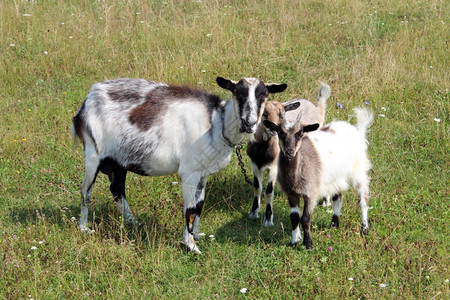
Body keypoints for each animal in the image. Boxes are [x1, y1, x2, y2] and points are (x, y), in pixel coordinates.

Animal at [72, 76, 286, 252]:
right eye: (237, 93)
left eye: (264, 95)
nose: (249, 123)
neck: (216, 123)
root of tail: (87, 102)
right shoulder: (189, 172)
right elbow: (189, 210)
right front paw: (190, 246)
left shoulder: (203, 173)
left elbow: (199, 205)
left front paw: (197, 235)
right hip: (93, 152)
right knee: (86, 190)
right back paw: (84, 227)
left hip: (118, 160)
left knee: (117, 189)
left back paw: (133, 222)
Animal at [246, 83, 330, 226]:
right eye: (264, 113)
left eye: (282, 114)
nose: (273, 129)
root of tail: (317, 107)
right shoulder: (255, 165)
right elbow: (257, 187)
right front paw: (253, 213)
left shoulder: (273, 167)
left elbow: (268, 191)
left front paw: (268, 219)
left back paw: (325, 202)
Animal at [264, 106, 372, 250]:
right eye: (280, 133)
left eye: (300, 134)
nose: (289, 152)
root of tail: (356, 130)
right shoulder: (291, 193)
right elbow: (294, 218)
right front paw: (294, 241)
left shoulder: (311, 192)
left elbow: (305, 218)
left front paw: (308, 243)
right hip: (336, 177)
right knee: (338, 197)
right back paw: (334, 224)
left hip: (358, 169)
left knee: (363, 199)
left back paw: (364, 228)